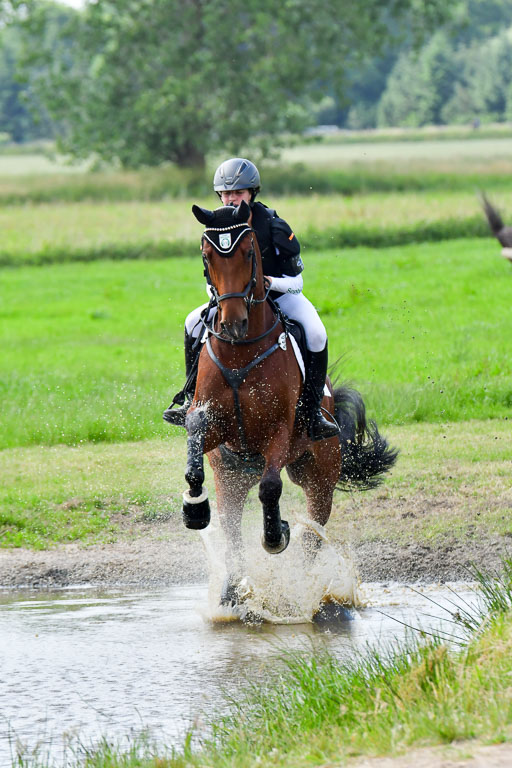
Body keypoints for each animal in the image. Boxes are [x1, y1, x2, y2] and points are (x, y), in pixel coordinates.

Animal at [180, 200, 397, 608]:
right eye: (206, 256)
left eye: (249, 254)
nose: (232, 324)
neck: (240, 351)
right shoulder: (213, 425)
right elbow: (194, 437)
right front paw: (194, 509)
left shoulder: (279, 432)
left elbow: (270, 488)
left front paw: (275, 534)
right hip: (231, 476)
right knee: (231, 529)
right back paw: (231, 590)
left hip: (320, 476)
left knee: (311, 534)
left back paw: (300, 589)